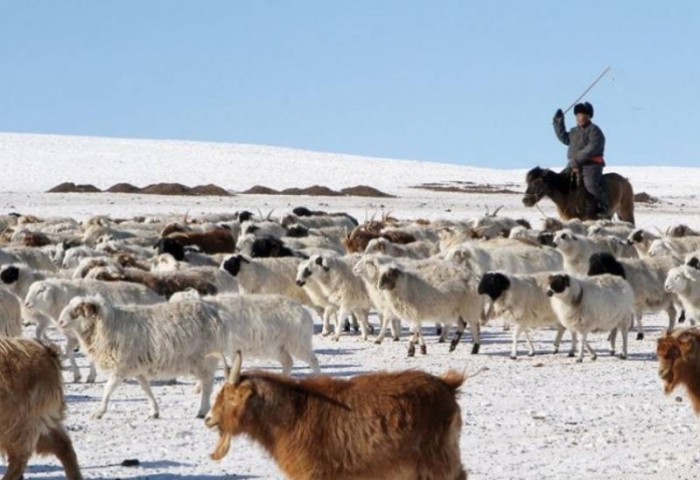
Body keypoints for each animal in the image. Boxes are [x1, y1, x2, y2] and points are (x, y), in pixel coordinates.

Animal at [205, 352, 468, 480]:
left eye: (231, 397)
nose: (208, 418)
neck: (293, 414)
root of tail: (447, 385)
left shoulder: (314, 474)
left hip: (438, 460)